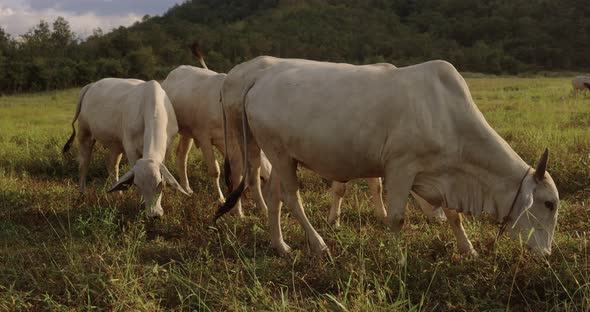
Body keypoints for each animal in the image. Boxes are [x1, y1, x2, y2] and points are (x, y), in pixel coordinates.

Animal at [62, 78, 188, 217]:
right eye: (138, 185)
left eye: (159, 184)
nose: (153, 215)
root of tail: (91, 85)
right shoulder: (131, 149)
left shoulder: (167, 147)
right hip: (85, 133)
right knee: (84, 164)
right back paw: (82, 194)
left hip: (115, 145)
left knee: (112, 165)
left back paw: (119, 195)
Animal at [216, 57, 560, 258]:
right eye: (549, 204)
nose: (546, 254)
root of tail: (258, 80)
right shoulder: (401, 168)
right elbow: (397, 218)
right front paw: (397, 256)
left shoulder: (444, 174)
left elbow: (454, 215)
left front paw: (469, 249)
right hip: (278, 152)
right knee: (290, 197)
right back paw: (318, 243)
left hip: (281, 154)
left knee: (274, 195)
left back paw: (281, 245)